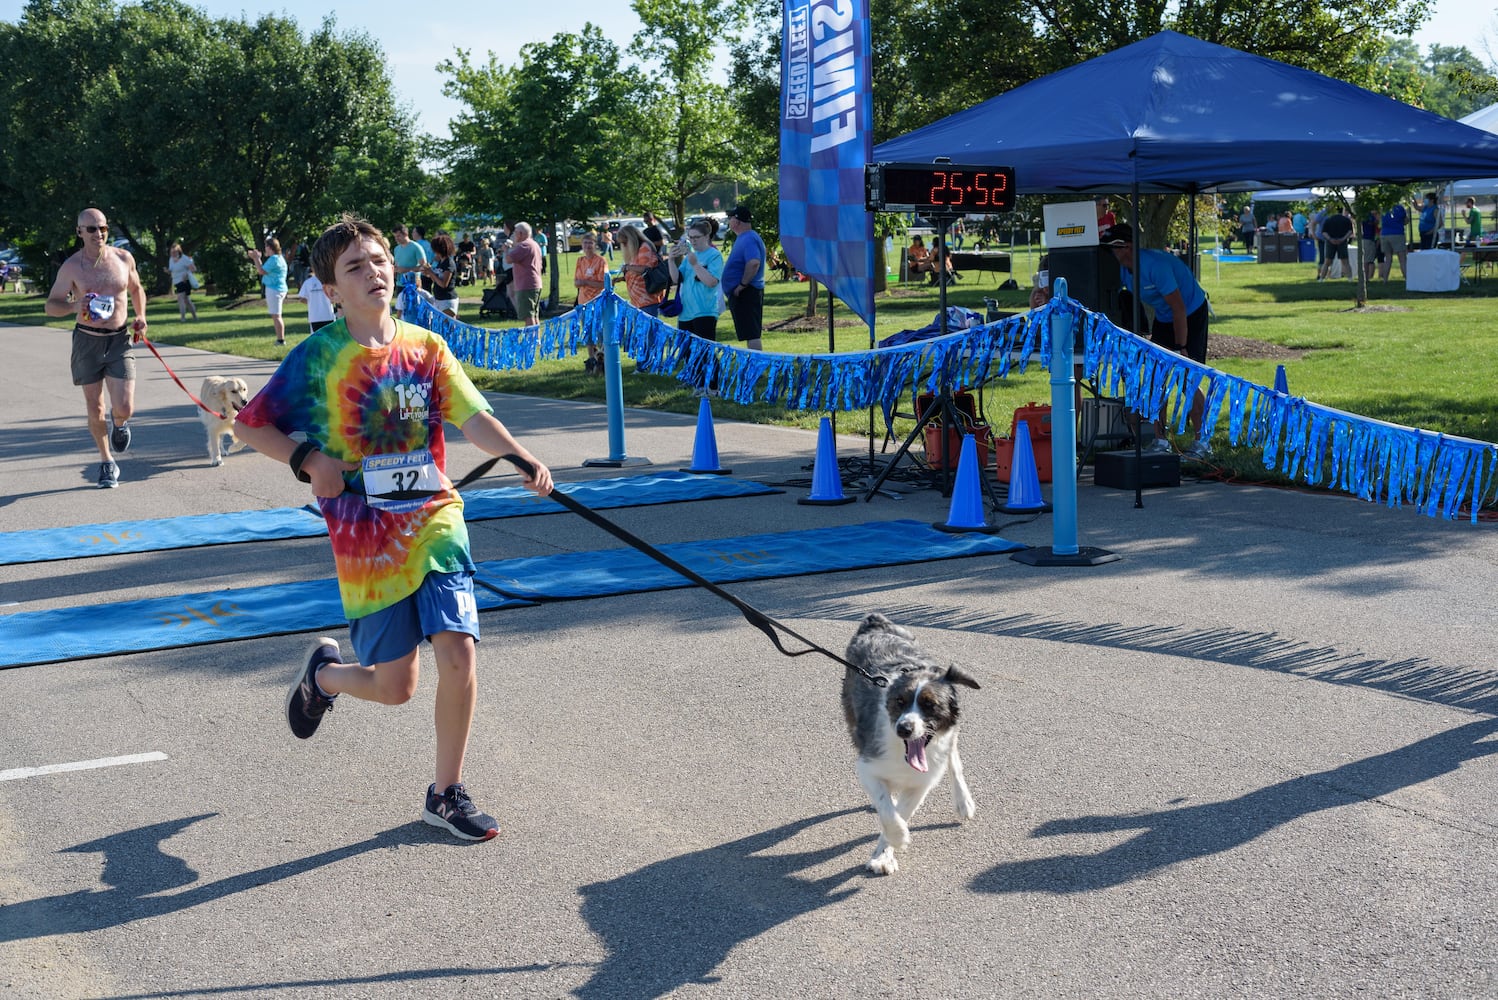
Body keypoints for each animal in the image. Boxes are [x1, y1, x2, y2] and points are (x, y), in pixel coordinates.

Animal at [844, 610, 982, 874]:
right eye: (900, 701)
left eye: (930, 705)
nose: (904, 728)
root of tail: (875, 623)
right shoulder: (868, 765)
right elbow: (888, 811)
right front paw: (897, 838)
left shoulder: (921, 781)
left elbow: (901, 811)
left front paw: (885, 852)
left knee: (953, 757)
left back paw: (963, 801)